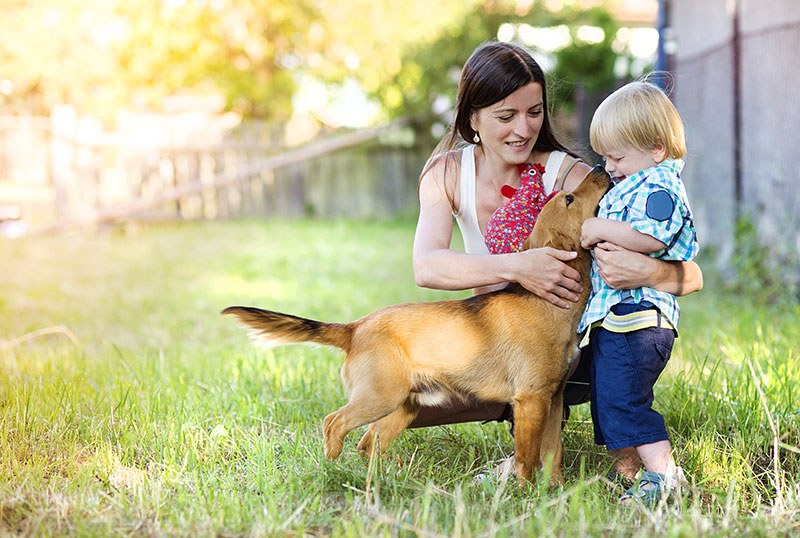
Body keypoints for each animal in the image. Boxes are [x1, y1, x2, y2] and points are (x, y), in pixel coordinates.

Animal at [222, 164, 608, 482]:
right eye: (570, 198)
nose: (601, 168)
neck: (546, 303)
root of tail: (355, 328)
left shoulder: (553, 398)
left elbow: (552, 453)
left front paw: (555, 492)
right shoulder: (530, 400)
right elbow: (528, 459)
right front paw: (525, 495)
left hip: (403, 406)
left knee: (367, 443)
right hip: (380, 397)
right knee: (334, 424)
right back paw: (331, 470)